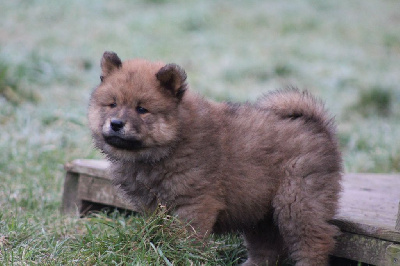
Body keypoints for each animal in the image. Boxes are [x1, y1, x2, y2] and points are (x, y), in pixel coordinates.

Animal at [89, 51, 342, 264]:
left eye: (142, 109)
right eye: (112, 104)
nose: (116, 123)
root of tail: (316, 126)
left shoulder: (194, 203)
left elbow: (186, 239)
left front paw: (181, 257)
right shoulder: (152, 207)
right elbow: (158, 232)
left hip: (298, 203)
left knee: (313, 243)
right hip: (260, 212)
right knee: (267, 249)